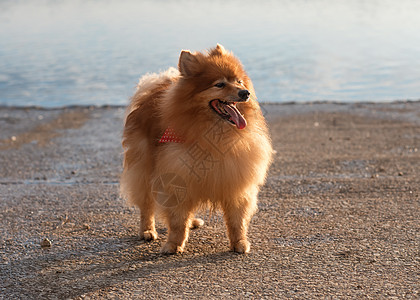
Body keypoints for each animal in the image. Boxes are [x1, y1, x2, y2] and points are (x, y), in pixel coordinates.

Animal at [120, 44, 272, 254]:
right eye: (219, 84)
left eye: (239, 81)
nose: (245, 93)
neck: (215, 136)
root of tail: (154, 88)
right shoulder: (175, 179)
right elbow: (176, 220)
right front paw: (173, 244)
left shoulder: (235, 181)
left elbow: (237, 219)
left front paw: (239, 242)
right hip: (144, 167)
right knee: (146, 204)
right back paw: (147, 231)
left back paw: (191, 222)